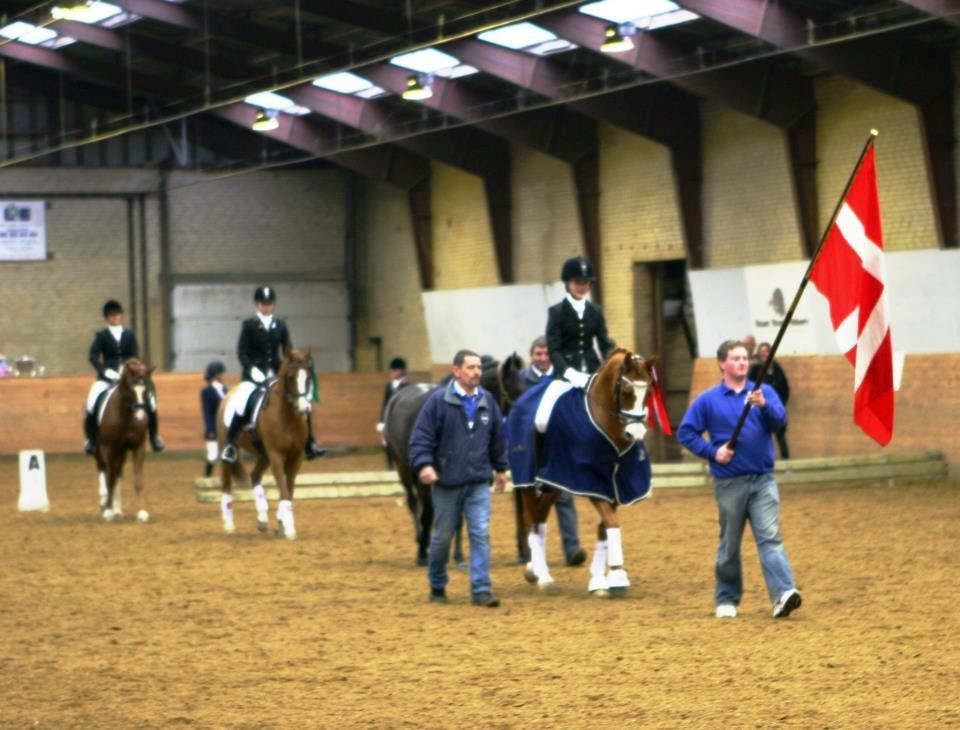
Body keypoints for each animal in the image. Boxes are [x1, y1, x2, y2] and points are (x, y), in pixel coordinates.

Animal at [93, 356, 156, 520]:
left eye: (147, 390)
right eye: (131, 390)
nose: (140, 419)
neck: (125, 416)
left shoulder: (138, 447)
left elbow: (138, 480)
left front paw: (142, 512)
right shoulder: (109, 448)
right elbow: (109, 478)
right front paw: (107, 511)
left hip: (121, 452)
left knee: (117, 472)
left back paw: (117, 509)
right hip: (100, 450)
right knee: (104, 470)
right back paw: (104, 502)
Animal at [218, 344, 312, 536]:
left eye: (308, 377)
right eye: (291, 378)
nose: (302, 408)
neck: (287, 416)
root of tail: (228, 396)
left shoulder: (296, 456)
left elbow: (288, 489)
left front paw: (282, 523)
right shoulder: (276, 455)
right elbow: (283, 488)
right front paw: (289, 528)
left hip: (263, 455)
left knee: (255, 476)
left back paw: (262, 518)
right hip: (229, 450)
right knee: (226, 485)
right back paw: (229, 526)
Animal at [506, 348, 656, 596]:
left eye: (649, 392)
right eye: (626, 392)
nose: (635, 434)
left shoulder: (614, 484)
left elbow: (604, 527)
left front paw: (599, 581)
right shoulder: (592, 482)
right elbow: (611, 522)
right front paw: (617, 577)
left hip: (555, 480)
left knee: (540, 516)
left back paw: (534, 570)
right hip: (527, 477)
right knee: (531, 519)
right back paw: (542, 576)